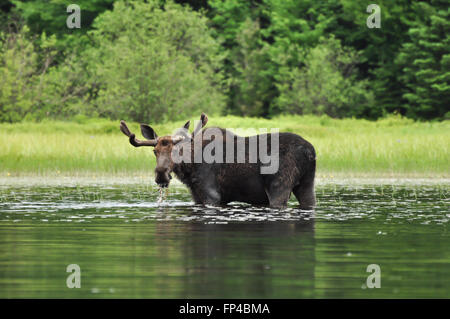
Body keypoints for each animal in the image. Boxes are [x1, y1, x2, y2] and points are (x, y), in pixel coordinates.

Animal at [119, 113, 316, 210]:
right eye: (155, 151)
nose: (161, 175)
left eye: (179, 150)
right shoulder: (196, 196)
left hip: (279, 186)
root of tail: (310, 152)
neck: (189, 170)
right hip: (306, 184)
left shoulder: (212, 195)